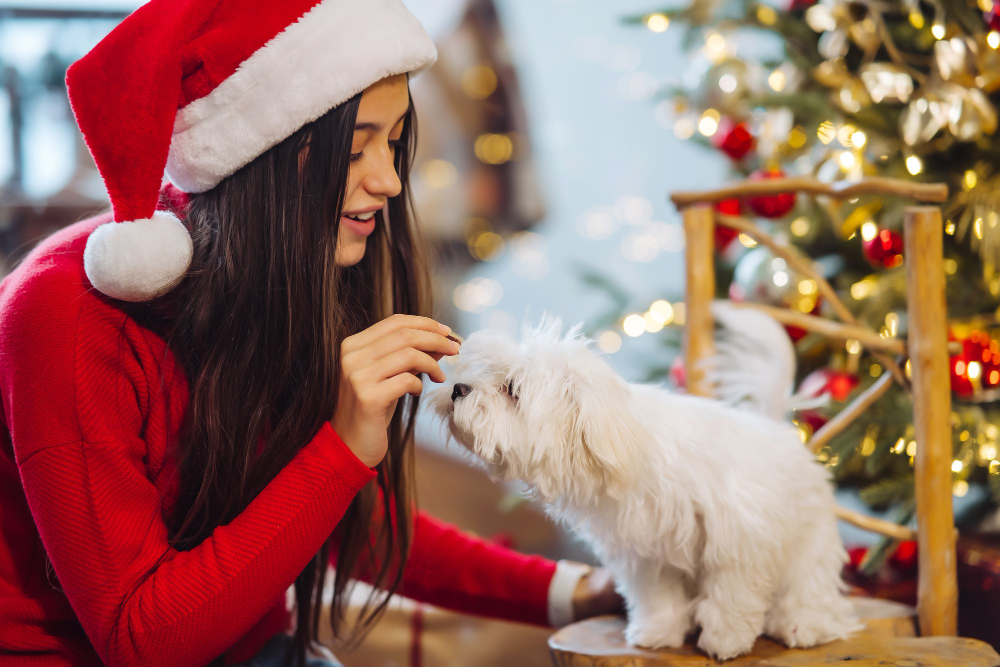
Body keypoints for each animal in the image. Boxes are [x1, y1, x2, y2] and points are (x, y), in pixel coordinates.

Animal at [426, 304, 864, 664]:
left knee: (808, 586)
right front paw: (658, 632)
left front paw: (725, 639)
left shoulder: (738, 541)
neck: (627, 446)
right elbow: (659, 597)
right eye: (481, 373)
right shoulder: (646, 550)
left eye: (512, 389)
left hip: (809, 541)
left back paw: (802, 624)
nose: (458, 389)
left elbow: (731, 593)